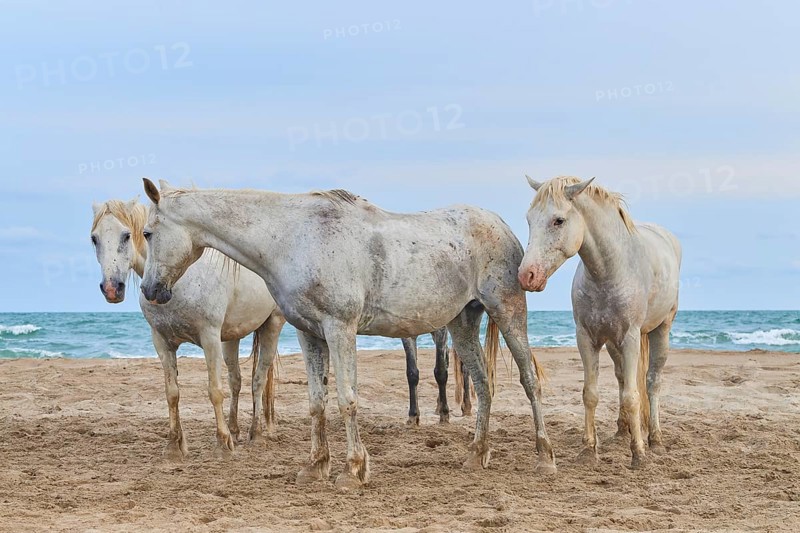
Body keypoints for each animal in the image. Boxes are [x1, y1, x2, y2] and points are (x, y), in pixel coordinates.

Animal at [90, 199, 286, 459]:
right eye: (94, 238)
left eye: (126, 235)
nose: (112, 288)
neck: (178, 280)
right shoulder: (162, 342)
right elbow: (172, 393)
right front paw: (174, 446)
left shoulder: (209, 338)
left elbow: (214, 390)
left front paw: (222, 444)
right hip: (230, 338)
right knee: (236, 380)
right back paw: (235, 431)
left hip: (272, 325)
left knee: (258, 379)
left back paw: (257, 435)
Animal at [140, 179, 554, 490]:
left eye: (147, 232)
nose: (149, 290)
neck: (293, 237)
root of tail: (501, 225)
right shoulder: (310, 334)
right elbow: (316, 402)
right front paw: (316, 465)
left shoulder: (340, 328)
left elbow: (346, 399)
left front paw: (353, 469)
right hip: (462, 323)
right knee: (484, 385)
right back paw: (477, 454)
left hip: (508, 312)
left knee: (529, 380)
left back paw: (545, 456)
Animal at [518, 176, 682, 469]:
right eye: (529, 219)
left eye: (559, 220)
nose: (527, 275)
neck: (609, 272)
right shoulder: (586, 338)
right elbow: (591, 393)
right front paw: (588, 450)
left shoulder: (630, 338)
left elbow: (632, 396)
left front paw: (638, 454)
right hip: (613, 343)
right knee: (621, 378)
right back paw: (622, 431)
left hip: (660, 330)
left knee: (652, 382)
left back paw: (655, 440)